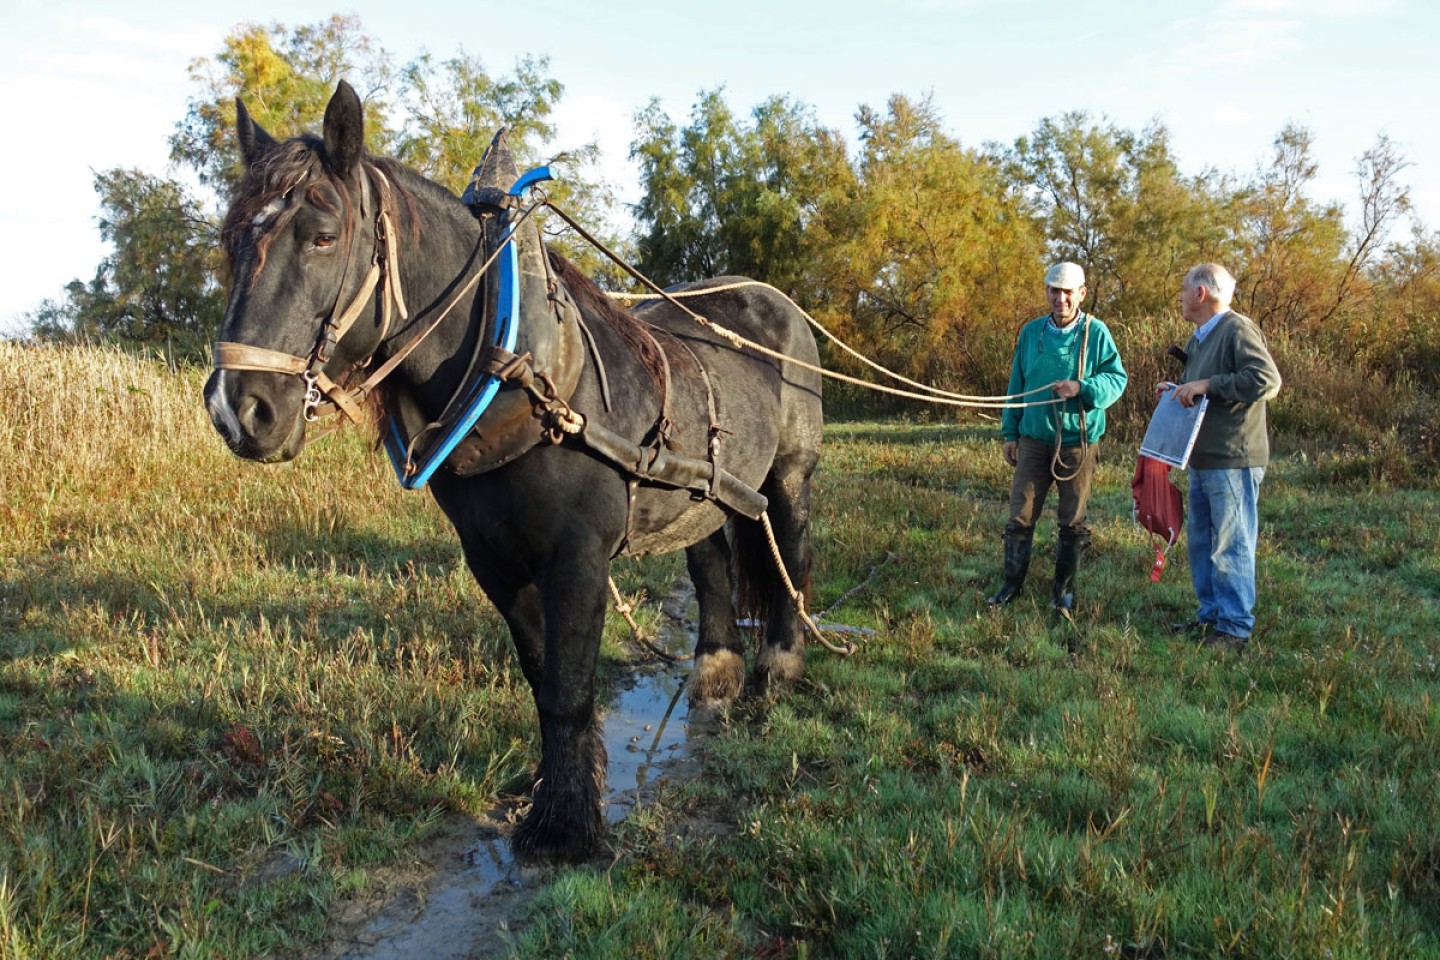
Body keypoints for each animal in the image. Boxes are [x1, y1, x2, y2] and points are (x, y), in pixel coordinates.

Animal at [208, 82, 829, 863]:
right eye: (231, 241)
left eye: (322, 235)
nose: (238, 409)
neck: (517, 364)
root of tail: (772, 299)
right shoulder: (494, 561)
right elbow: (541, 679)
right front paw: (556, 798)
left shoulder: (578, 558)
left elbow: (568, 687)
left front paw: (567, 827)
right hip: (702, 490)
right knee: (712, 561)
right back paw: (716, 671)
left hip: (790, 479)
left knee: (789, 560)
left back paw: (778, 670)